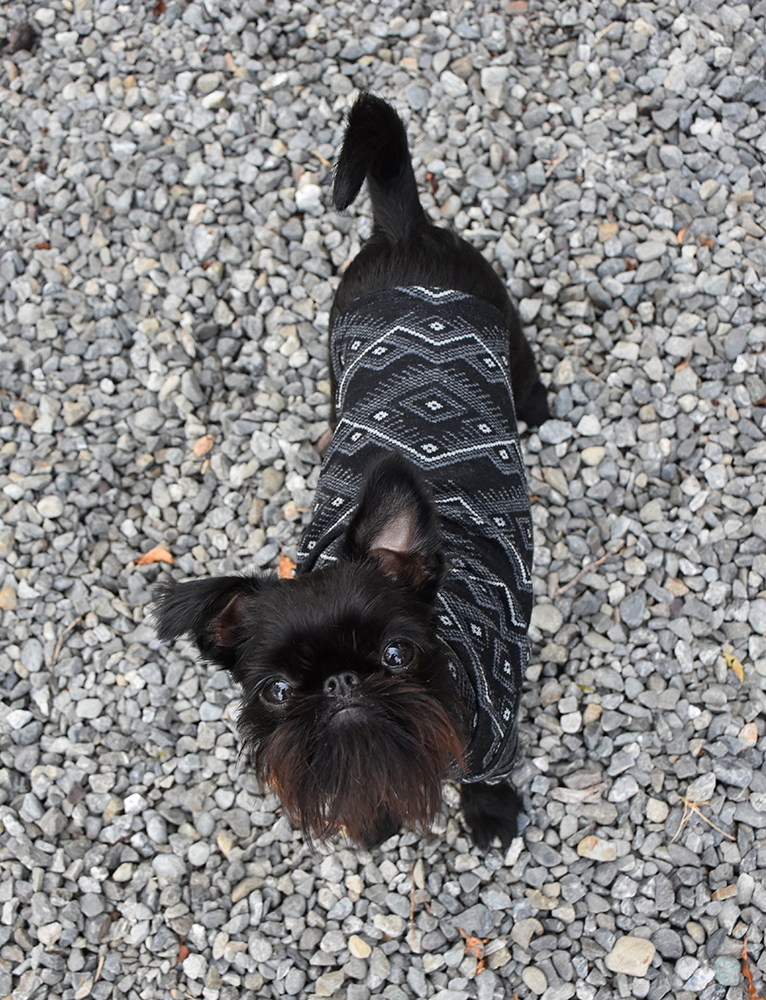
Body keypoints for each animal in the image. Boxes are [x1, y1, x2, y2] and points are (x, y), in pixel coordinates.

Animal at [156, 94, 548, 848]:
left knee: (523, 360)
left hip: (501, 314)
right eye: (278, 692)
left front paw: (489, 814)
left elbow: (488, 774)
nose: (341, 685)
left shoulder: (496, 725)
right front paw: (375, 822)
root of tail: (403, 232)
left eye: (397, 655)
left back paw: (540, 408)